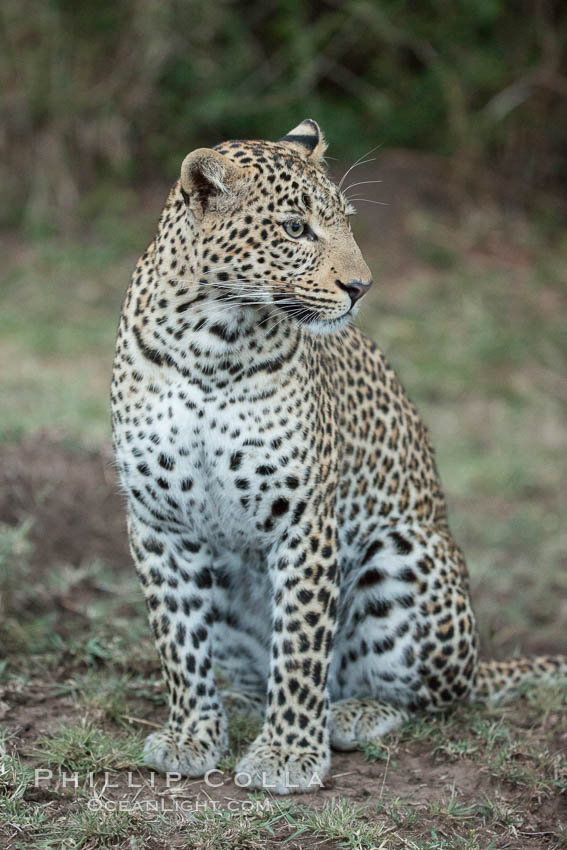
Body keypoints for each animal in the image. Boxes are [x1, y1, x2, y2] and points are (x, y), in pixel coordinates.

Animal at [112, 117, 567, 788]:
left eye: (346, 222)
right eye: (295, 228)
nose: (361, 286)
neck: (211, 344)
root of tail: (476, 664)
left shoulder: (303, 518)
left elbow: (301, 646)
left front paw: (288, 754)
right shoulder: (158, 522)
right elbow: (178, 641)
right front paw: (193, 735)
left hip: (406, 552)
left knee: (425, 699)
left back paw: (351, 713)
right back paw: (242, 704)